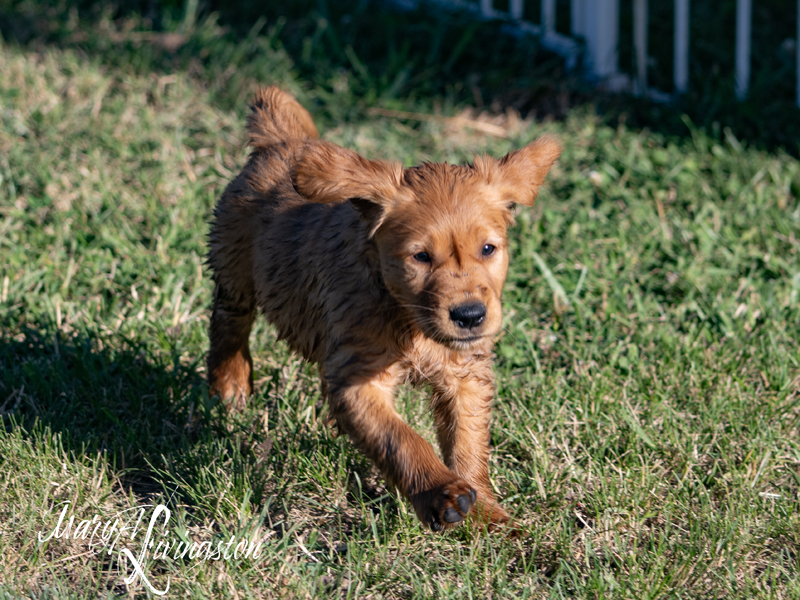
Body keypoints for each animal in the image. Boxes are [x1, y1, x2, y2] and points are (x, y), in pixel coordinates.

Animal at [208, 88, 564, 528]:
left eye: (488, 249)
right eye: (421, 256)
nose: (469, 316)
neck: (410, 318)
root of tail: (282, 141)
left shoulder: (465, 374)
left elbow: (467, 443)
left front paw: (487, 514)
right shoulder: (358, 379)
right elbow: (401, 440)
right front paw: (443, 493)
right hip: (233, 262)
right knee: (229, 323)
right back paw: (230, 385)